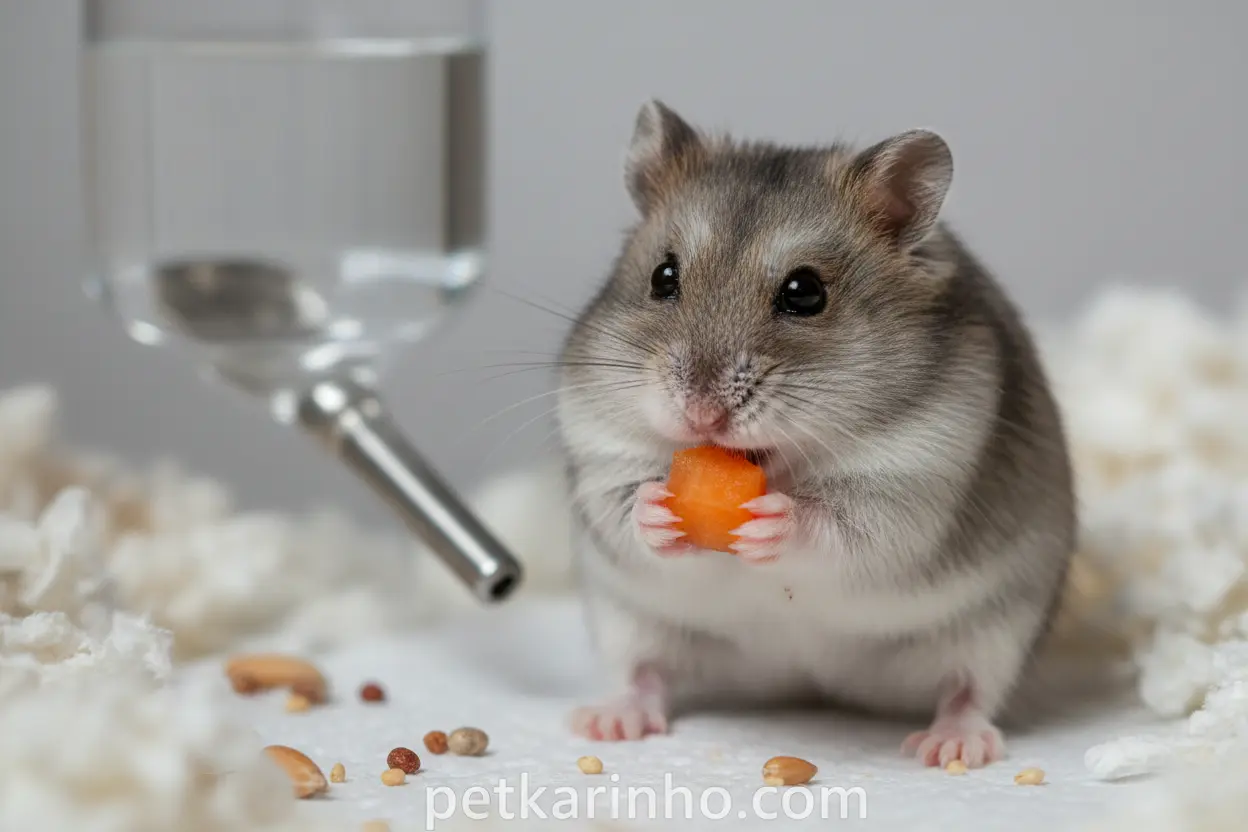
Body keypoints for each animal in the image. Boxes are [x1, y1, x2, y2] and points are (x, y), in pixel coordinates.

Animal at [554, 100, 1075, 769]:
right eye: (662, 277)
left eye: (805, 293)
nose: (701, 414)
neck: (779, 465)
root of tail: (810, 685)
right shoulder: (599, 447)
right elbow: (624, 505)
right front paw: (659, 510)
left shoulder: (913, 482)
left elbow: (838, 525)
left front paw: (772, 521)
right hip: (626, 620)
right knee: (640, 674)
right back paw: (606, 722)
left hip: (997, 630)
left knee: (969, 691)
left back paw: (949, 746)